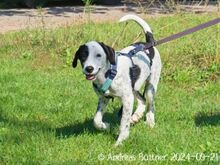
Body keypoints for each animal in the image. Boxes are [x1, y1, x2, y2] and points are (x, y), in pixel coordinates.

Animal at [72, 14, 162, 146]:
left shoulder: (127, 99)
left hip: (150, 86)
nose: (89, 69)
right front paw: (106, 126)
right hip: (133, 87)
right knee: (142, 99)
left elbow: (123, 124)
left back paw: (150, 122)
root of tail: (148, 43)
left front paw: (120, 141)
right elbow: (96, 120)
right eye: (83, 56)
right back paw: (136, 116)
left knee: (150, 104)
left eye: (98, 55)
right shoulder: (103, 98)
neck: (108, 75)